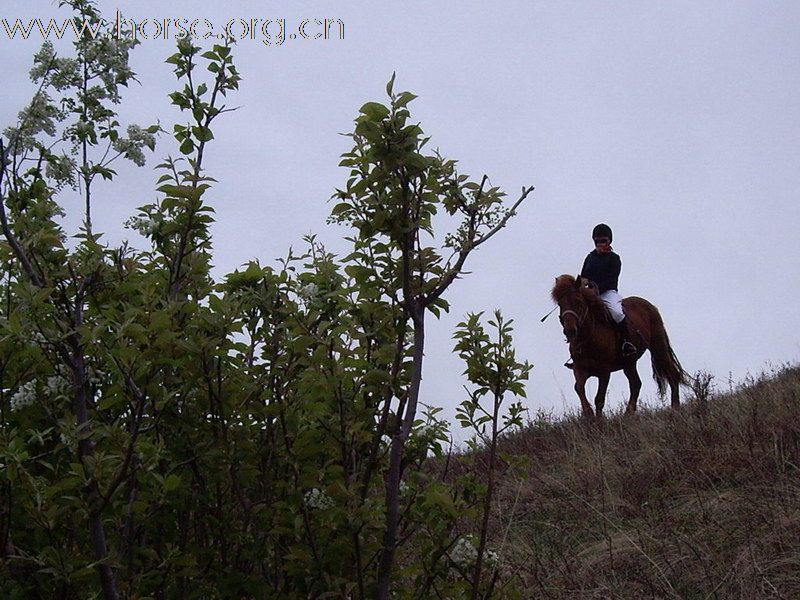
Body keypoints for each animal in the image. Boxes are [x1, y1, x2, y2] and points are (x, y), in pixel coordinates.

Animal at [552, 274, 688, 420]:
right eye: (560, 304)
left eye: (578, 301)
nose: (570, 331)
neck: (589, 337)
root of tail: (650, 306)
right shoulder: (580, 370)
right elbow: (579, 389)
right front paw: (589, 416)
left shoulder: (604, 372)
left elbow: (599, 399)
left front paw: (599, 422)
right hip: (629, 363)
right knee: (636, 384)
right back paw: (628, 414)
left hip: (658, 348)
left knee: (671, 374)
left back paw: (675, 408)